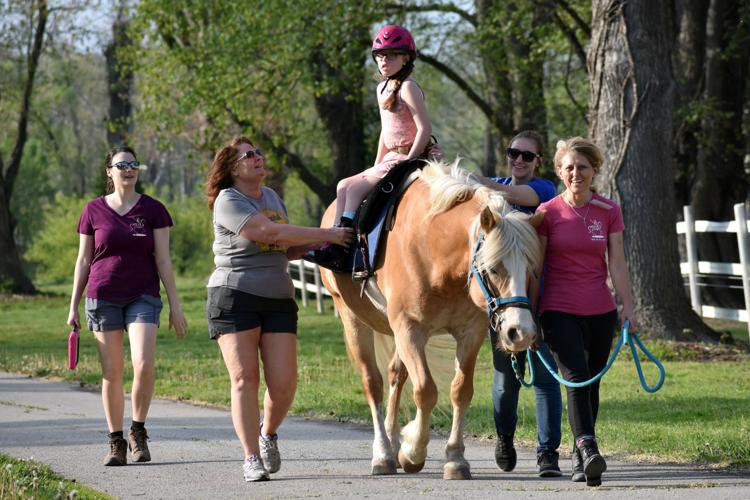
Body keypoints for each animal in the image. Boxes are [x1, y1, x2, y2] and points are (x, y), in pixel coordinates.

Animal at [319, 160, 543, 480]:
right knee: (373, 382)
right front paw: (413, 451)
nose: (520, 332)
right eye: (494, 269)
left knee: (395, 376)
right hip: (353, 320)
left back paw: (392, 440)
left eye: (532, 269)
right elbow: (425, 390)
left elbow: (461, 391)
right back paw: (383, 454)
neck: (433, 248)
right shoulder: (410, 330)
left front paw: (455, 459)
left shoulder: (469, 333)